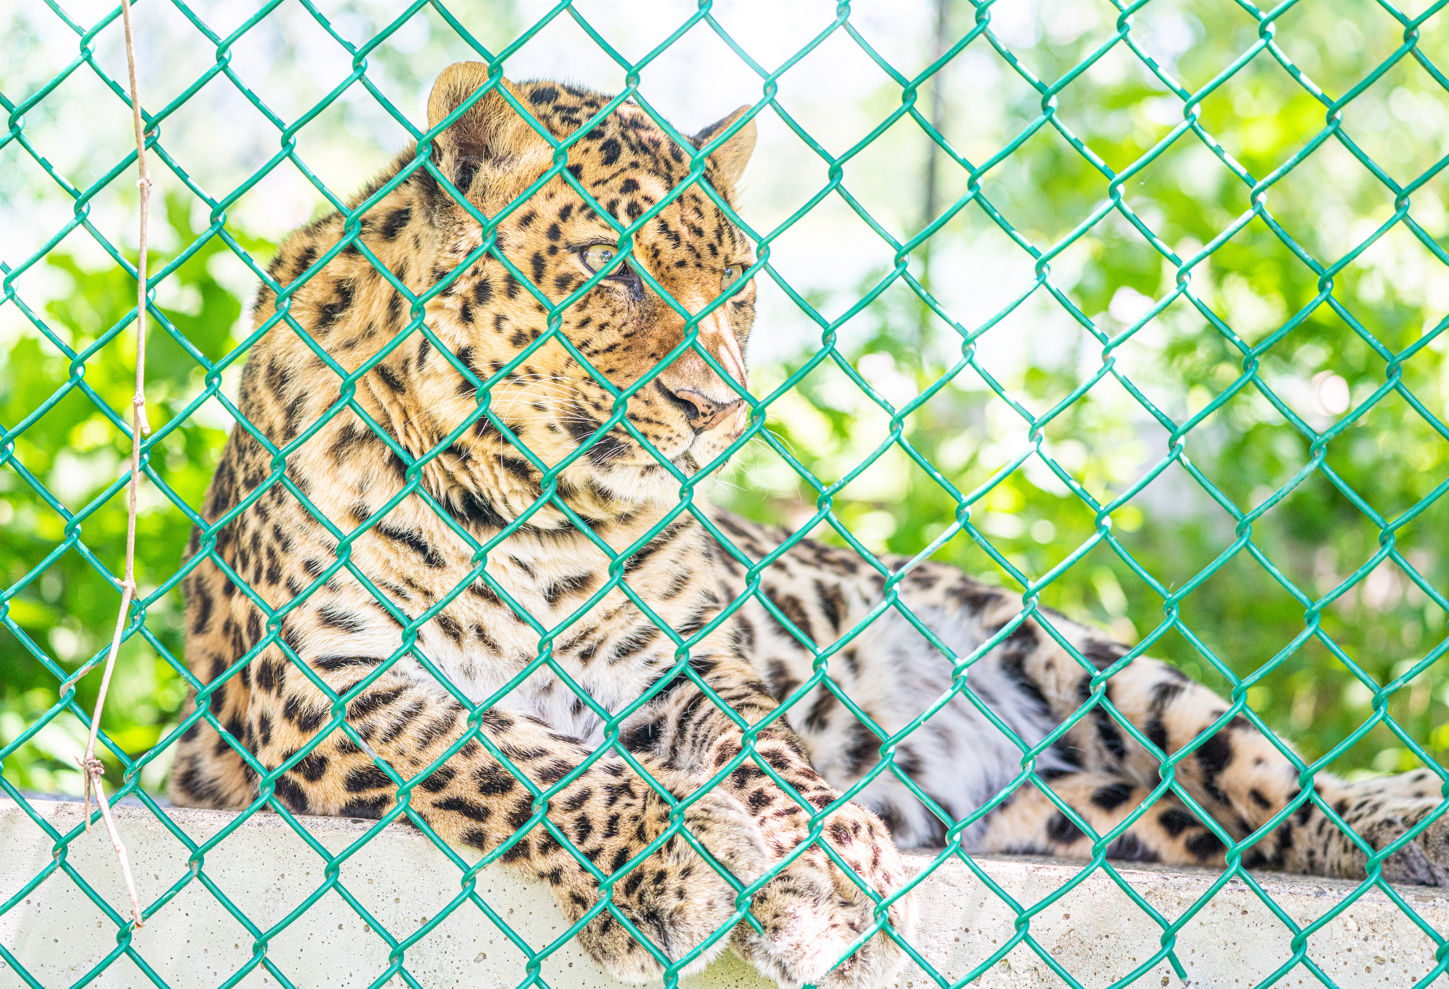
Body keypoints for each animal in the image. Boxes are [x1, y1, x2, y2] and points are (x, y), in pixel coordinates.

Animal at [169, 62, 1449, 988]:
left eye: (738, 283)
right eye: (606, 265)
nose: (716, 405)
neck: (530, 511)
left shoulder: (681, 658)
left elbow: (764, 744)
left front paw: (831, 861)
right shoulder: (325, 691)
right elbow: (531, 763)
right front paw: (689, 859)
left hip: (1075, 657)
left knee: (1266, 779)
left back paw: (1407, 816)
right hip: (1074, 811)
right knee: (1208, 824)